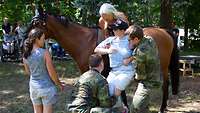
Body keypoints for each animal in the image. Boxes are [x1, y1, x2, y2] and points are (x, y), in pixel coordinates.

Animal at [30, 9, 180, 113]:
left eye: (37, 23)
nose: (27, 38)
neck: (84, 41)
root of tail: (165, 31)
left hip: (163, 67)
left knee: (165, 85)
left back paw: (162, 108)